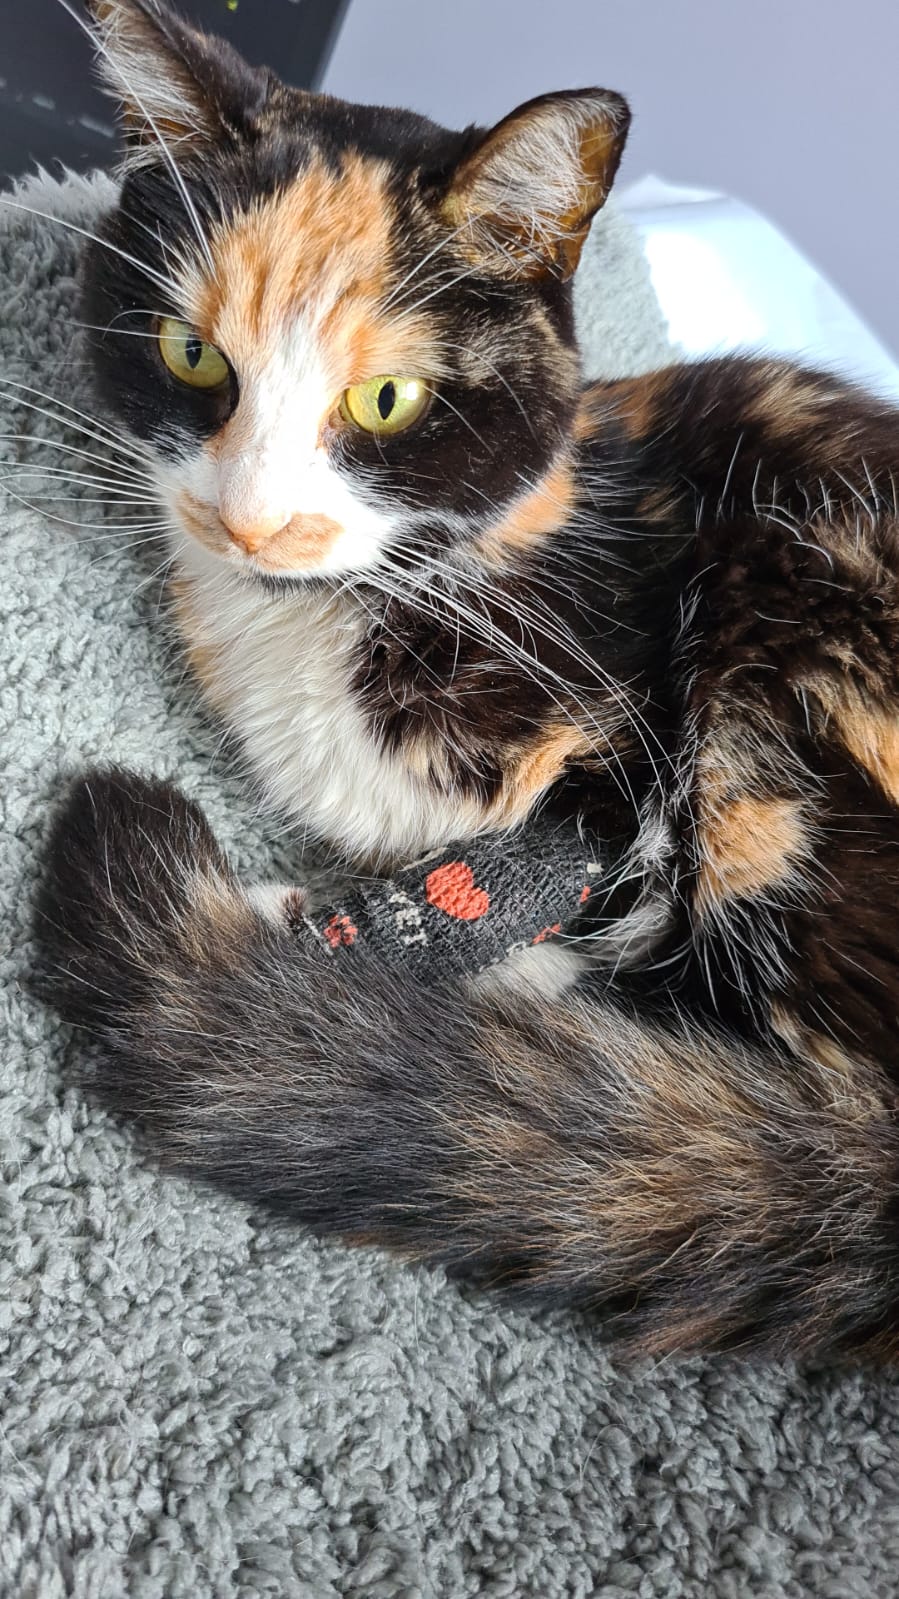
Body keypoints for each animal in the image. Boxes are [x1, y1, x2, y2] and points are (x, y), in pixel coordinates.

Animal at [33, 0, 899, 1359]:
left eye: (386, 399)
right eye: (190, 354)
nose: (251, 522)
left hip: (782, 610)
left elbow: (530, 887)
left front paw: (325, 946)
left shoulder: (616, 754)